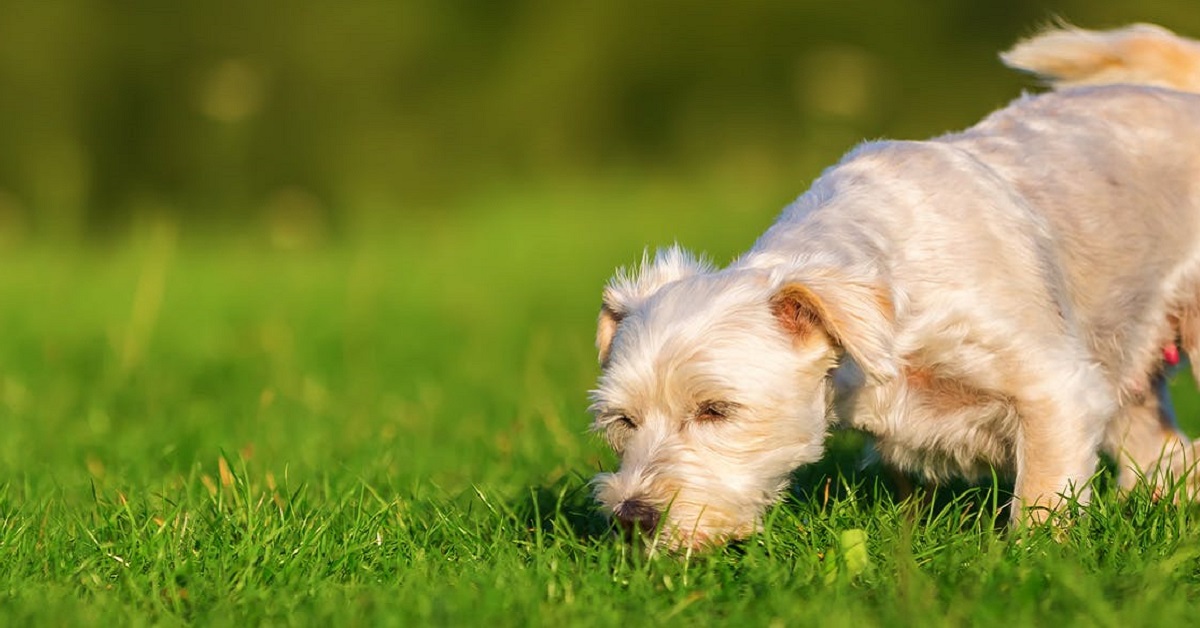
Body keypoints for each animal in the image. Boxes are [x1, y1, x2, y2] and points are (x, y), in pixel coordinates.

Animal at [590, 23, 1200, 549]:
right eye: (623, 421)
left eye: (717, 410)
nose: (632, 518)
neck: (887, 313)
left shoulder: (1055, 390)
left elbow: (1041, 504)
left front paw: (1036, 561)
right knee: (1170, 457)